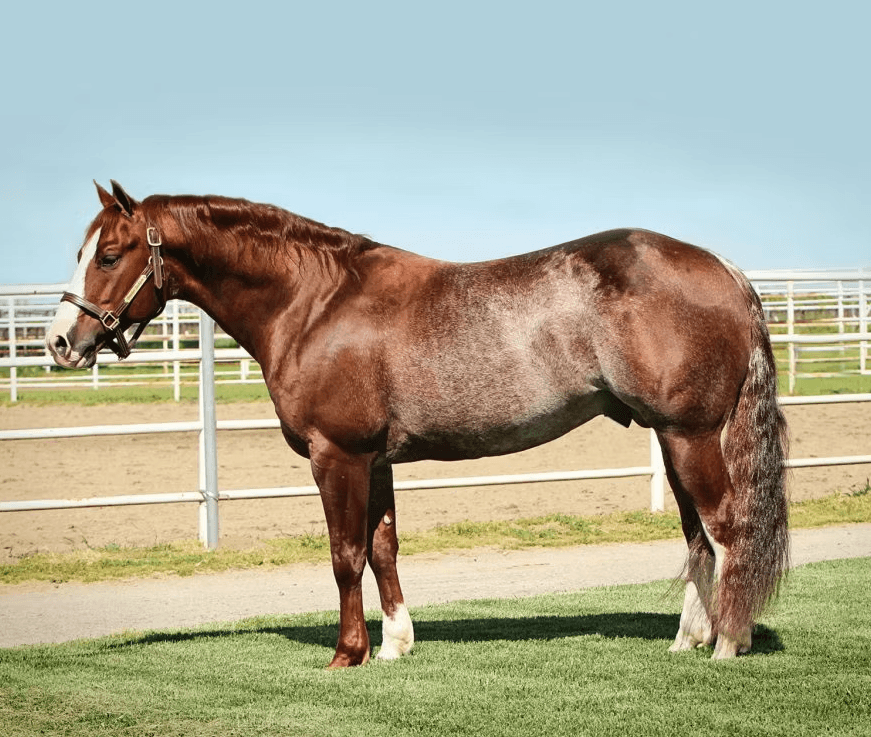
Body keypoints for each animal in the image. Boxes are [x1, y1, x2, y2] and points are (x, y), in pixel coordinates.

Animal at [46, 180, 789, 667]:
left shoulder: (337, 455)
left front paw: (347, 654)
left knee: (726, 532)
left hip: (689, 436)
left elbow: (344, 553)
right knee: (697, 538)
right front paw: (396, 645)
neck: (314, 302)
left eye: (109, 255)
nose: (58, 342)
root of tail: (725, 270)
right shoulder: (374, 459)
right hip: (675, 438)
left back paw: (727, 643)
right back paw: (689, 639)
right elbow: (383, 548)